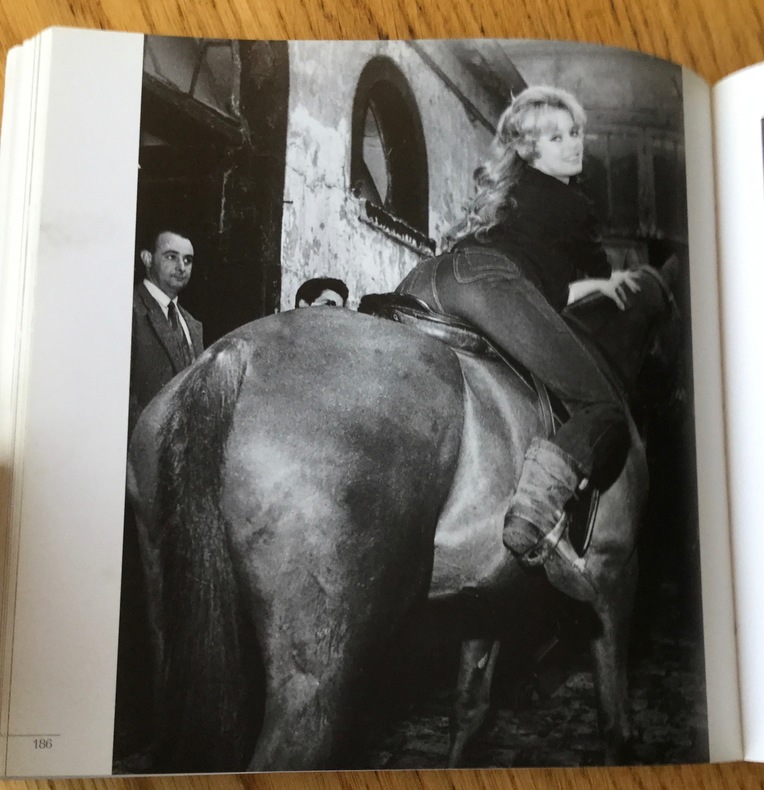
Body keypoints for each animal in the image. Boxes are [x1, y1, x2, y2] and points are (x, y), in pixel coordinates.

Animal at [125, 261, 681, 773]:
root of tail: (234, 354)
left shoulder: (487, 598)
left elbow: (470, 708)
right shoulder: (614, 574)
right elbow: (614, 722)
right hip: (319, 671)